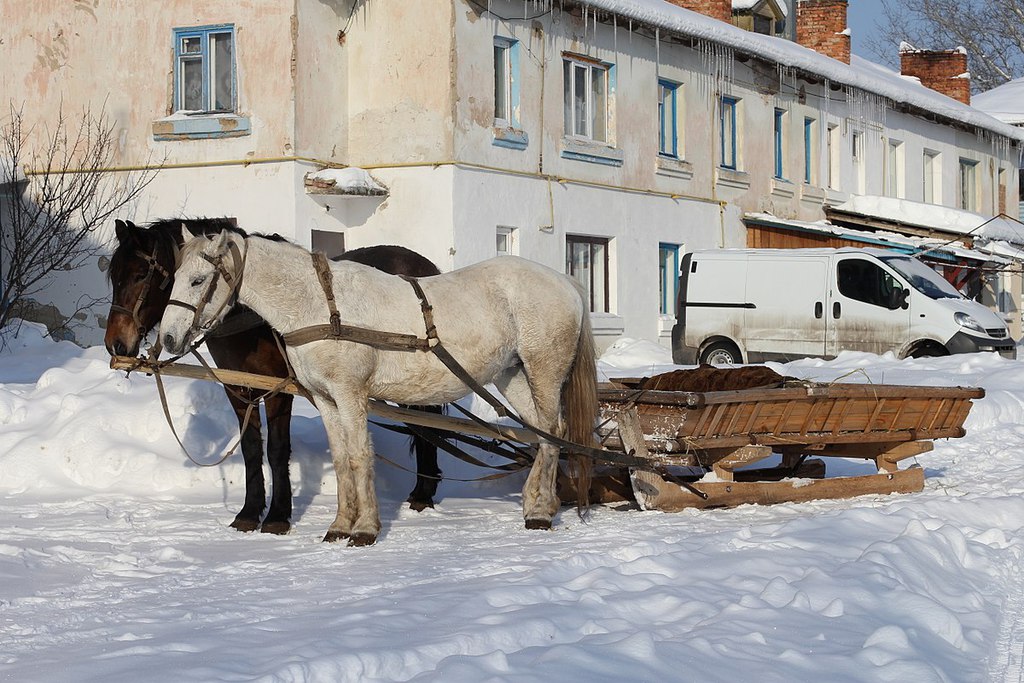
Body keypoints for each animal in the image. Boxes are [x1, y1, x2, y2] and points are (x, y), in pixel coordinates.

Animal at [104, 219, 444, 532]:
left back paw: (422, 494)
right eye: (113, 277)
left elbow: (277, 449)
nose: (115, 344)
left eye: (140, 275)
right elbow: (251, 448)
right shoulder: (238, 390)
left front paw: (278, 516)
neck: (249, 320)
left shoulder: (280, 389)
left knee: (427, 425)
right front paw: (249, 512)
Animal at [155, 232, 598, 548]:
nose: (168, 338)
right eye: (171, 279)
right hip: (513, 375)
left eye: (198, 280)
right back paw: (538, 503)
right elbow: (341, 460)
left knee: (552, 433)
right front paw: (339, 525)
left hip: (544, 370)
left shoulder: (351, 392)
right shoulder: (325, 399)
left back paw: (541, 512)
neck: (318, 305)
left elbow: (358, 455)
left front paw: (365, 528)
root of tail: (565, 281)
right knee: (543, 433)